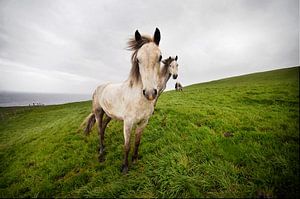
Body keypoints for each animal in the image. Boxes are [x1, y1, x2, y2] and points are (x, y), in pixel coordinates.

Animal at [83, 28, 163, 173]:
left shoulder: (143, 122)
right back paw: (101, 152)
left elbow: (137, 142)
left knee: (103, 128)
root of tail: (99, 87)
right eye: (138, 59)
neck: (138, 99)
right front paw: (125, 167)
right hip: (98, 112)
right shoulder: (128, 123)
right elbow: (127, 145)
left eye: (160, 57)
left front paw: (135, 159)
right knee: (99, 129)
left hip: (109, 114)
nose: (150, 93)